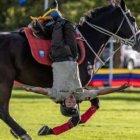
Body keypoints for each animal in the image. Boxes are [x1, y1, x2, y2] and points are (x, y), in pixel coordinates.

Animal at [0, 0, 138, 140]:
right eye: (133, 19)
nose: (138, 41)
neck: (87, 42)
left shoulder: (81, 86)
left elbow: (95, 103)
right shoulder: (75, 88)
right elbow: (77, 118)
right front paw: (49, 130)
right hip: (6, 79)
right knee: (3, 110)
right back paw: (23, 133)